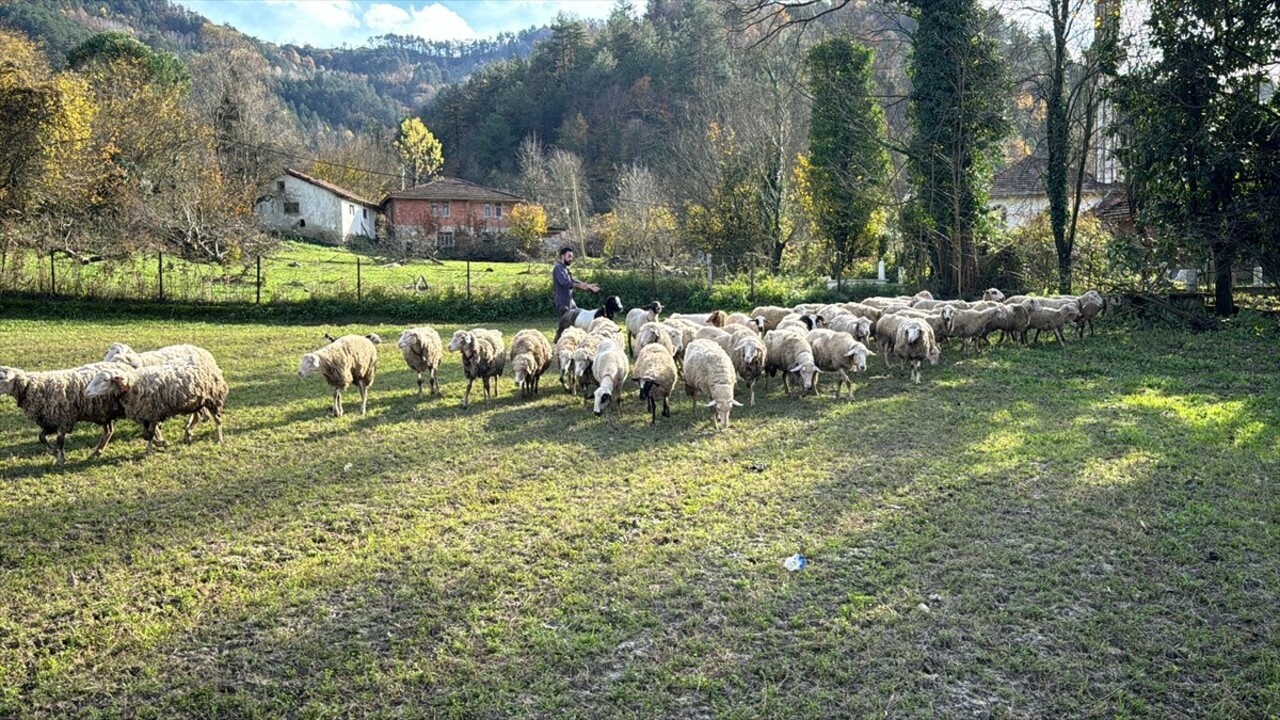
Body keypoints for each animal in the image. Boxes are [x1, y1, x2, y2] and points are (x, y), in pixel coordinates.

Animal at [0, 361, 133, 461]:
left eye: (2, 378)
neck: (34, 386)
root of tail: (125, 366)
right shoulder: (50, 421)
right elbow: (41, 437)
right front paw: (53, 452)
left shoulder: (63, 419)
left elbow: (60, 440)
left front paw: (60, 458)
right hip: (103, 412)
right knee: (108, 431)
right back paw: (97, 452)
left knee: (109, 431)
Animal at [83, 358, 227, 453]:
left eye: (105, 380)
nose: (86, 392)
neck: (134, 384)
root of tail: (212, 366)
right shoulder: (146, 414)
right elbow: (147, 434)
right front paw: (155, 446)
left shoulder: (153, 413)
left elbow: (150, 434)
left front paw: (157, 446)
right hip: (197, 402)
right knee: (197, 417)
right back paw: (188, 435)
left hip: (213, 399)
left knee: (218, 420)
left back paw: (219, 440)